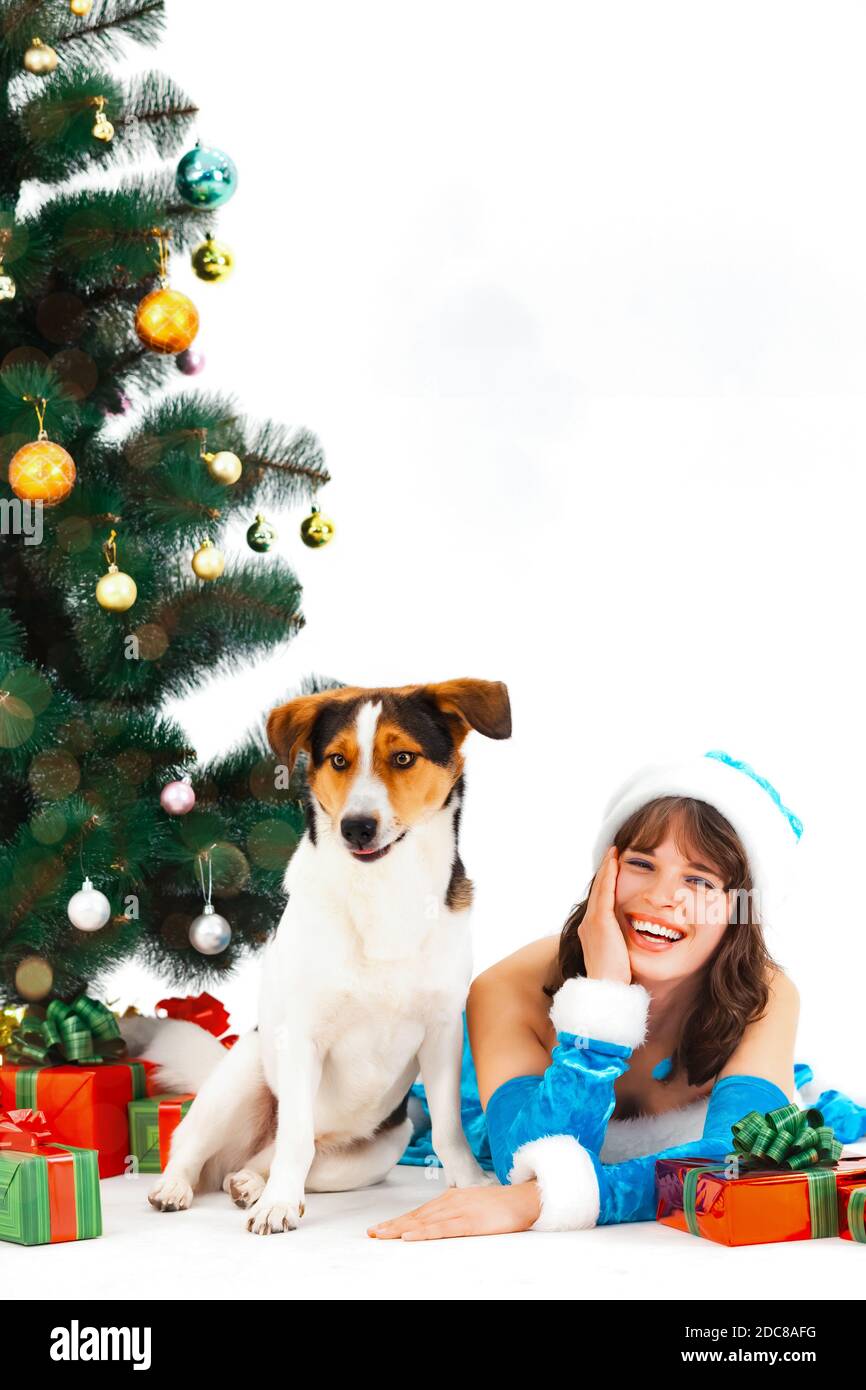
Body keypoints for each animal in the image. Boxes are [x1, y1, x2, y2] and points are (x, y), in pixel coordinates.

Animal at [147, 678, 514, 1234]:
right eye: (339, 761)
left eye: (403, 757)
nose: (356, 826)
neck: (383, 888)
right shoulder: (302, 1037)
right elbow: (295, 1135)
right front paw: (278, 1205)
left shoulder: (444, 1032)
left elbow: (449, 1127)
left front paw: (471, 1186)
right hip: (242, 1077)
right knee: (200, 1144)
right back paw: (179, 1187)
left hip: (379, 1148)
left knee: (273, 1159)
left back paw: (250, 1182)